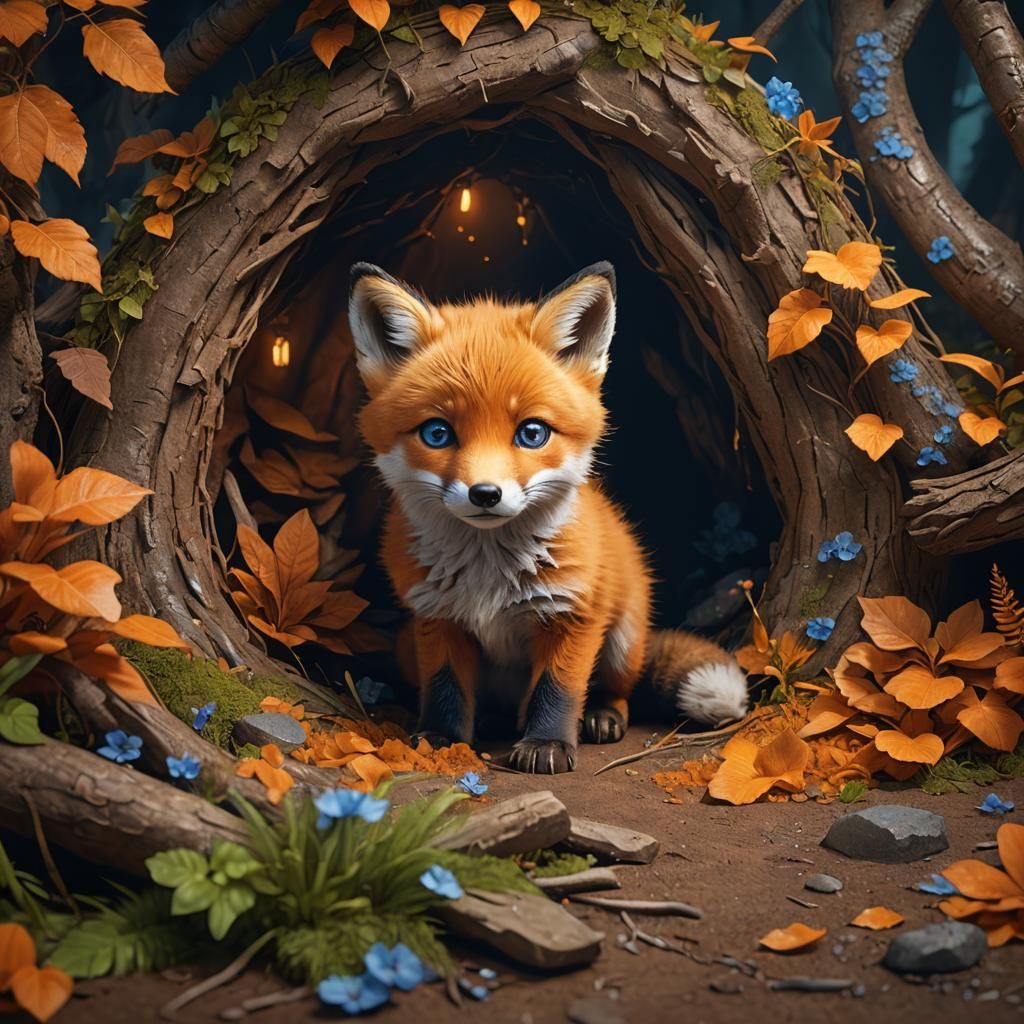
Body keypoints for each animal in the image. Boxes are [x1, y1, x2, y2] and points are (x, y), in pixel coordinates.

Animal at [349, 260, 749, 774]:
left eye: (532, 433)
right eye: (437, 433)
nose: (485, 494)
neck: (488, 573)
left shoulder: (574, 614)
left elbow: (557, 688)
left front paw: (548, 744)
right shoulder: (436, 616)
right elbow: (445, 688)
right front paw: (442, 737)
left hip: (623, 639)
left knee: (616, 690)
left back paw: (602, 716)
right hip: (406, 647)